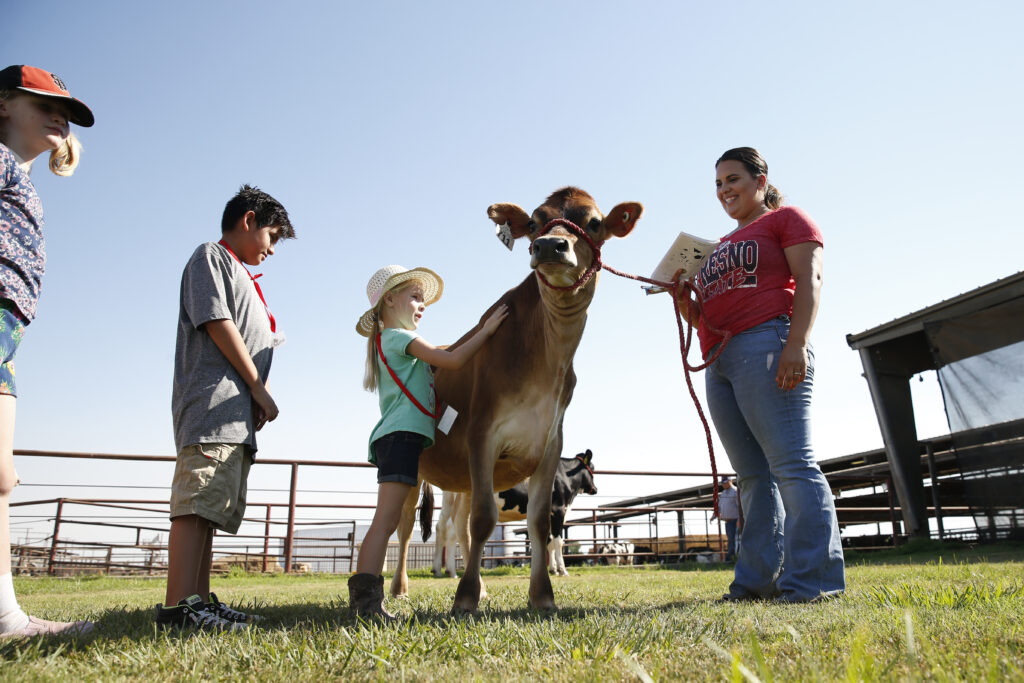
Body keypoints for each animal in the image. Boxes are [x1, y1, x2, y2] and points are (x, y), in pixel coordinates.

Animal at [432, 449, 597, 579]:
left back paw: (438, 570)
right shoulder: (558, 510)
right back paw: (452, 571)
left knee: (441, 528)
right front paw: (562, 570)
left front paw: (553, 570)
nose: (595, 489)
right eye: (592, 468)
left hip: (449, 503)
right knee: (453, 532)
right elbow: (558, 542)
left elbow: (549, 543)